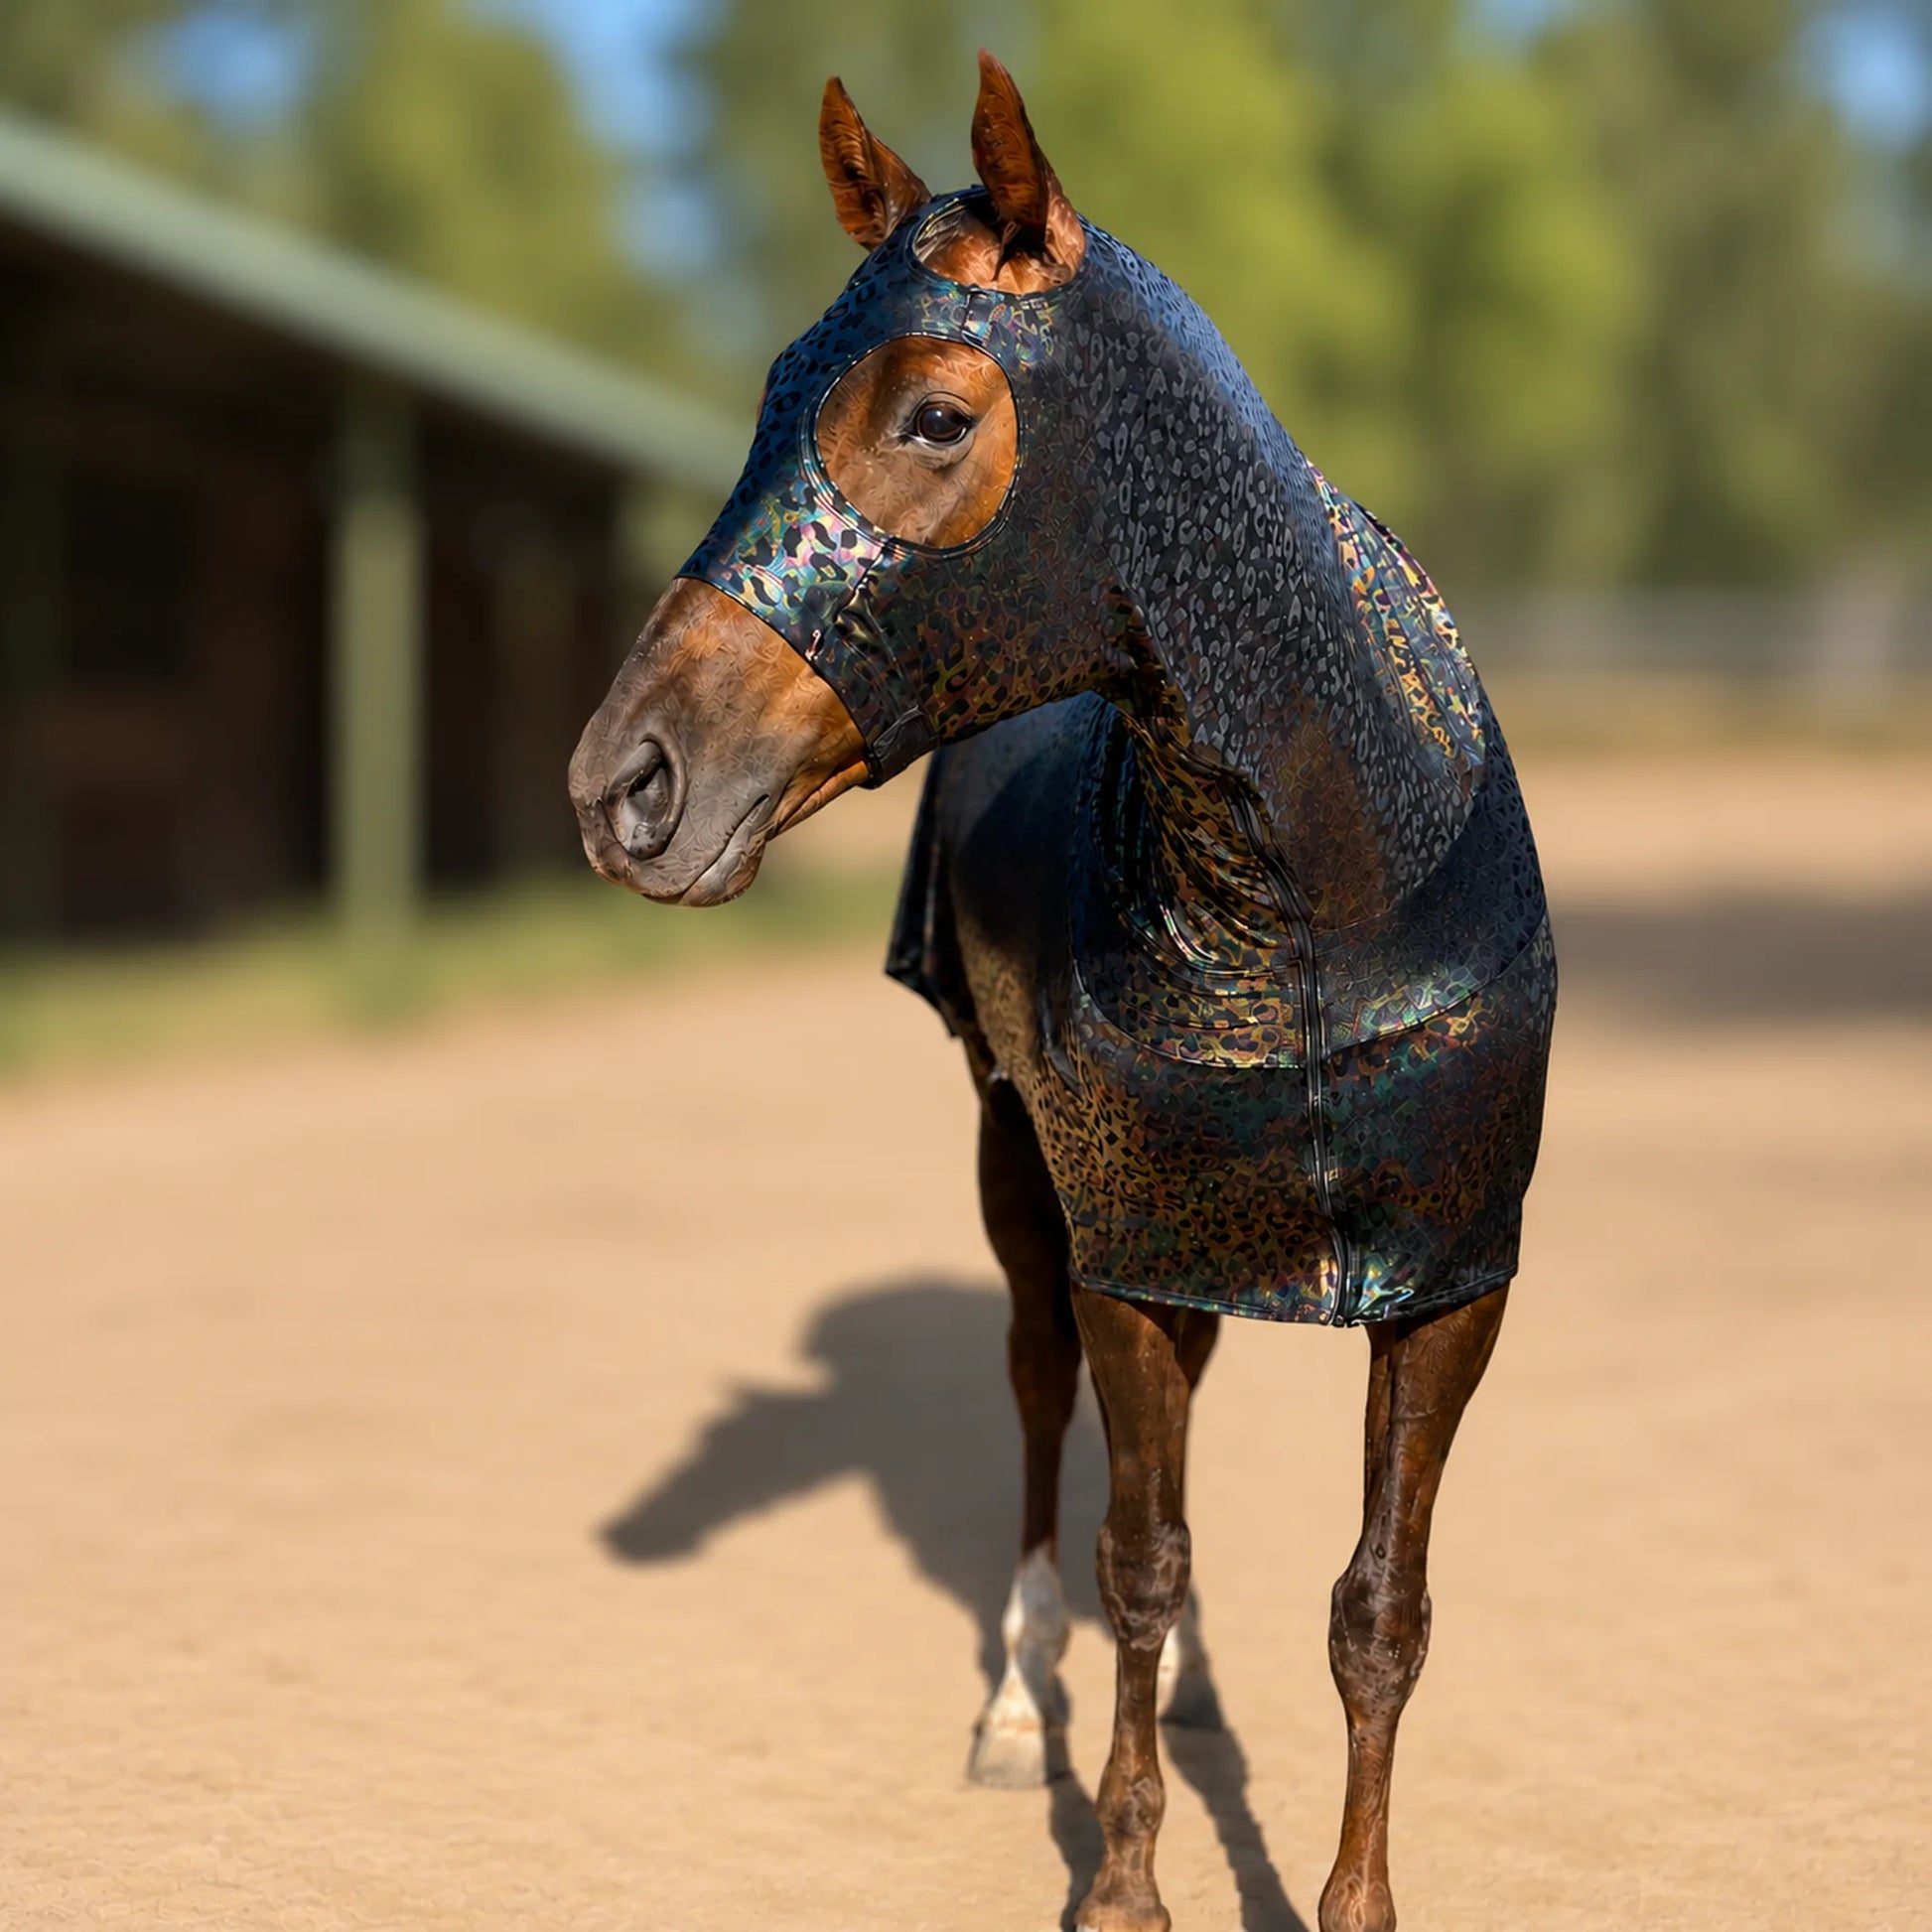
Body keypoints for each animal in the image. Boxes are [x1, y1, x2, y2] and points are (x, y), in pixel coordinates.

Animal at [568, 53, 1555, 1932]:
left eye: (936, 417)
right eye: (772, 387)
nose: (623, 783)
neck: (1312, 910)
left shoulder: (1447, 1286)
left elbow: (1378, 1608)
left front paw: (1348, 1899)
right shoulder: (1125, 1256)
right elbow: (1135, 1555)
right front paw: (1118, 1883)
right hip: (1015, 1155)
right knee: (1038, 1404)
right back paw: (1018, 1706)